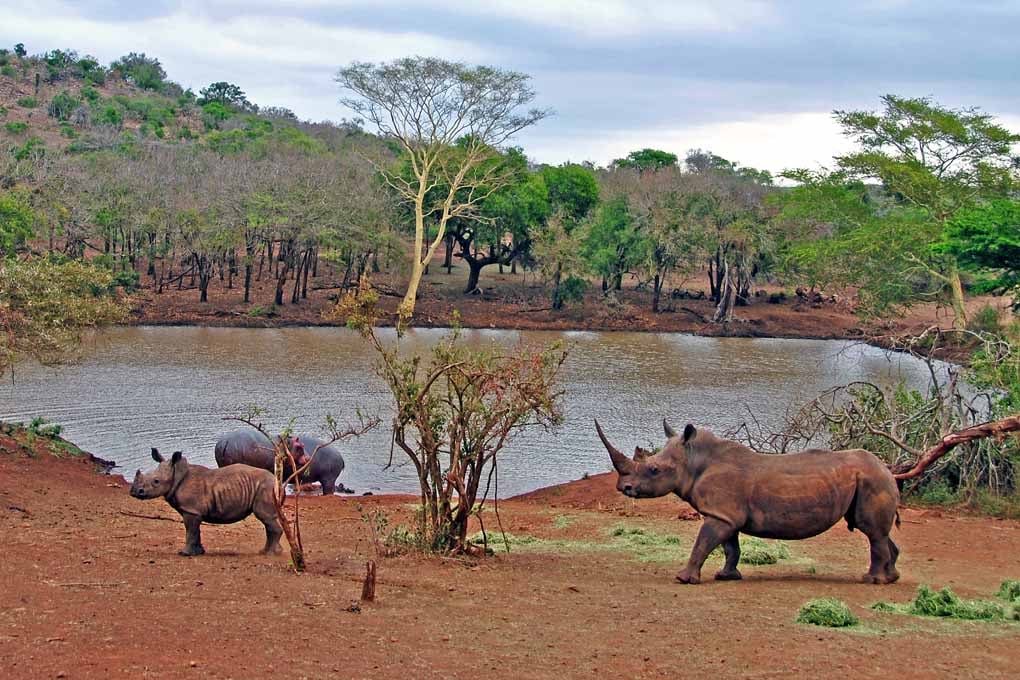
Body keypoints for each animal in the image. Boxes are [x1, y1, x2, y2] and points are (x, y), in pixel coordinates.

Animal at [130, 448, 282, 557]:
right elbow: (195, 531)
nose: (134, 491)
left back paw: (269, 554)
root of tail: (277, 481)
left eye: (156, 481)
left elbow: (190, 531)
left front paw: (184, 553)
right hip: (267, 487)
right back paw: (269, 552)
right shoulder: (192, 510)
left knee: (265, 516)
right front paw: (199, 552)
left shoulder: (191, 510)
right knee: (268, 520)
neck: (177, 474)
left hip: (266, 487)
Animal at [596, 419, 901, 585]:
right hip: (870, 480)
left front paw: (683, 579)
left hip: (872, 480)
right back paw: (891, 578)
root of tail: (888, 469)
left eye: (654, 470)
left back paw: (871, 581)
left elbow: (703, 543)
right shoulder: (725, 514)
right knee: (878, 532)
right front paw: (725, 576)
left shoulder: (721, 514)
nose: (623, 487)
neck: (693, 460)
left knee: (871, 531)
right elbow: (730, 547)